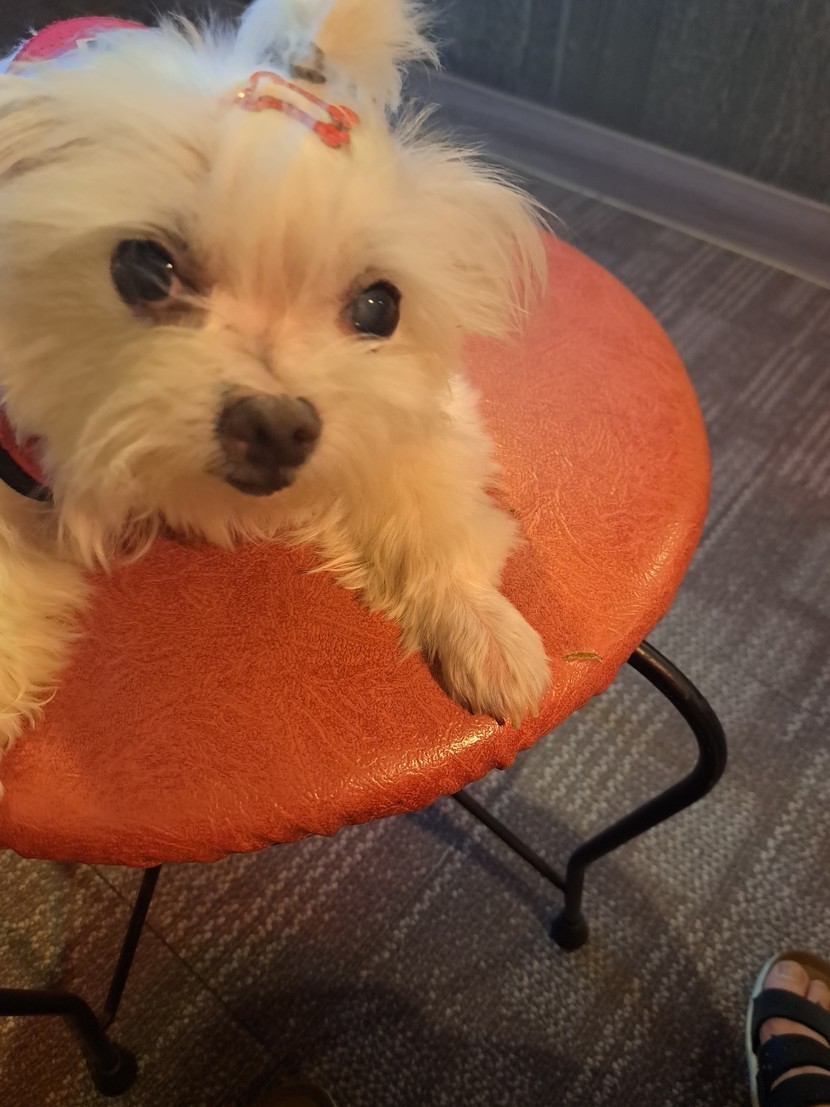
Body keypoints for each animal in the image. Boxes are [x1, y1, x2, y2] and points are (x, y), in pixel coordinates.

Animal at [0, 0, 551, 773]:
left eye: (379, 306)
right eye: (144, 267)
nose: (275, 426)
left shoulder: (411, 411)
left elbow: (430, 509)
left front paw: (485, 628)